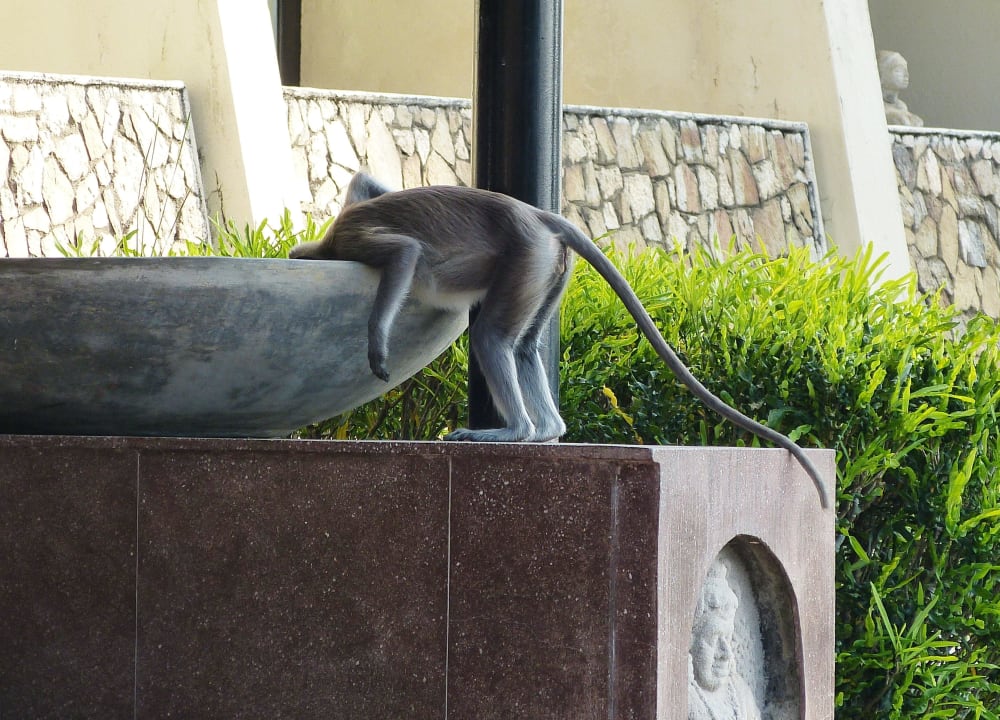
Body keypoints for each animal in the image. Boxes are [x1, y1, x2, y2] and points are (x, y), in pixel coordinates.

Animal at [290, 172, 829, 508]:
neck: (333, 239)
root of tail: (537, 216)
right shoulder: (357, 203)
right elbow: (368, 180)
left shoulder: (354, 235)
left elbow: (403, 253)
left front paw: (376, 346)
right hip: (547, 266)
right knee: (524, 347)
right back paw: (545, 429)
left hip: (527, 256)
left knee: (490, 337)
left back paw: (516, 432)